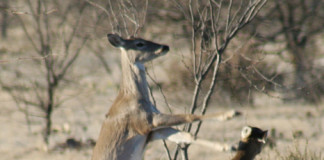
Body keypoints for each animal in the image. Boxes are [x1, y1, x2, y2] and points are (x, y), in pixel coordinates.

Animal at [91, 33, 240, 160]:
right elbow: (189, 116)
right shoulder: (147, 122)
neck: (133, 95)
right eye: (139, 43)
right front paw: (231, 113)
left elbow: (188, 135)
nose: (164, 47)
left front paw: (230, 146)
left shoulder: (152, 132)